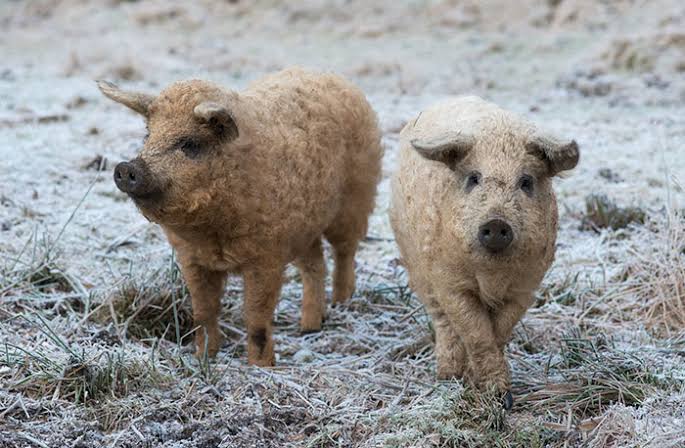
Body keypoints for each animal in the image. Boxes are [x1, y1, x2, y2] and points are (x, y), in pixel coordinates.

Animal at [98, 67, 383, 366]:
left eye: (190, 144)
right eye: (148, 135)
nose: (126, 167)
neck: (211, 232)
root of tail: (330, 75)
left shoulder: (266, 256)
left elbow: (256, 316)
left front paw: (261, 366)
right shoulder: (191, 258)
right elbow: (203, 311)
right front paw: (203, 358)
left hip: (357, 197)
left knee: (345, 252)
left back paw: (342, 302)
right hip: (304, 227)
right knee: (315, 264)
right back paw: (309, 327)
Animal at [389, 96, 579, 408]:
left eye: (526, 181)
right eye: (474, 178)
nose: (496, 223)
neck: (493, 274)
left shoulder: (525, 287)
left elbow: (498, 331)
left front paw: (497, 395)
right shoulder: (451, 284)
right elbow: (476, 333)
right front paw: (492, 394)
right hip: (415, 265)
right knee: (441, 320)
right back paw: (446, 375)